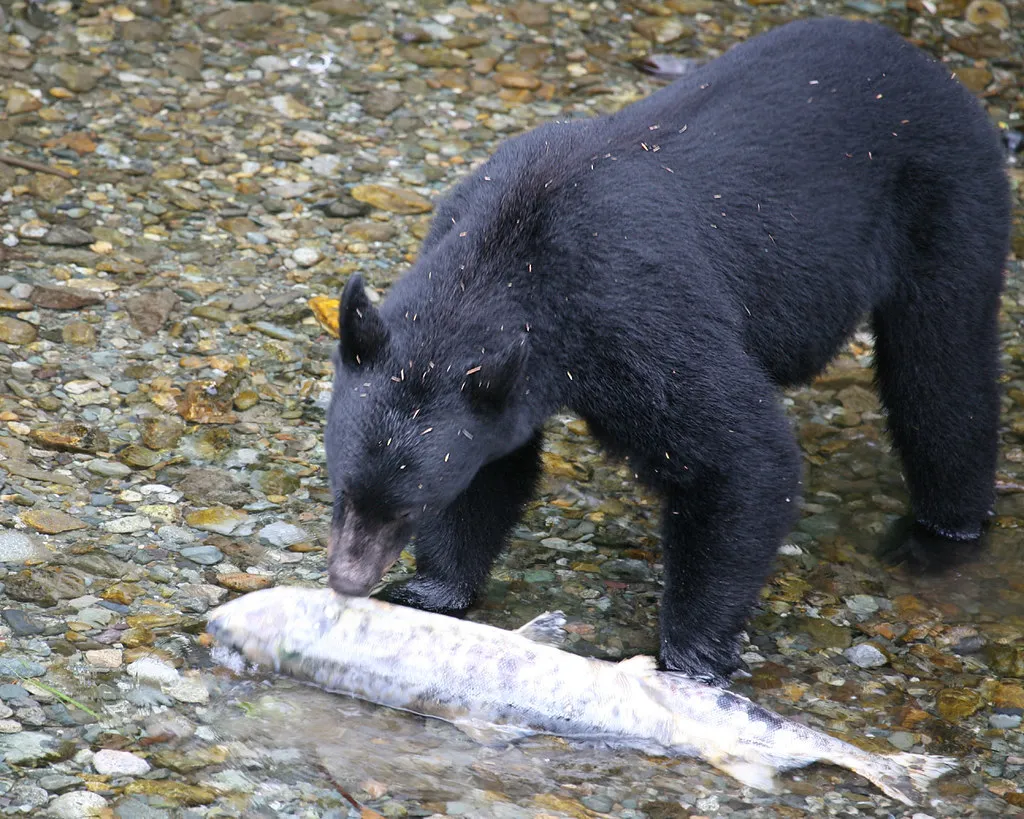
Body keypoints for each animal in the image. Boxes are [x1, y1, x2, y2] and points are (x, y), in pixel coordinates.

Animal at [324, 17, 1011, 685]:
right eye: (343, 491)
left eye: (408, 509)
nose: (347, 581)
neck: (514, 253)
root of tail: (925, 65)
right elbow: (495, 469)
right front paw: (431, 590)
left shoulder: (636, 317)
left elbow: (742, 457)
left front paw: (691, 657)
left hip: (950, 198)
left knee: (941, 372)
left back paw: (943, 532)